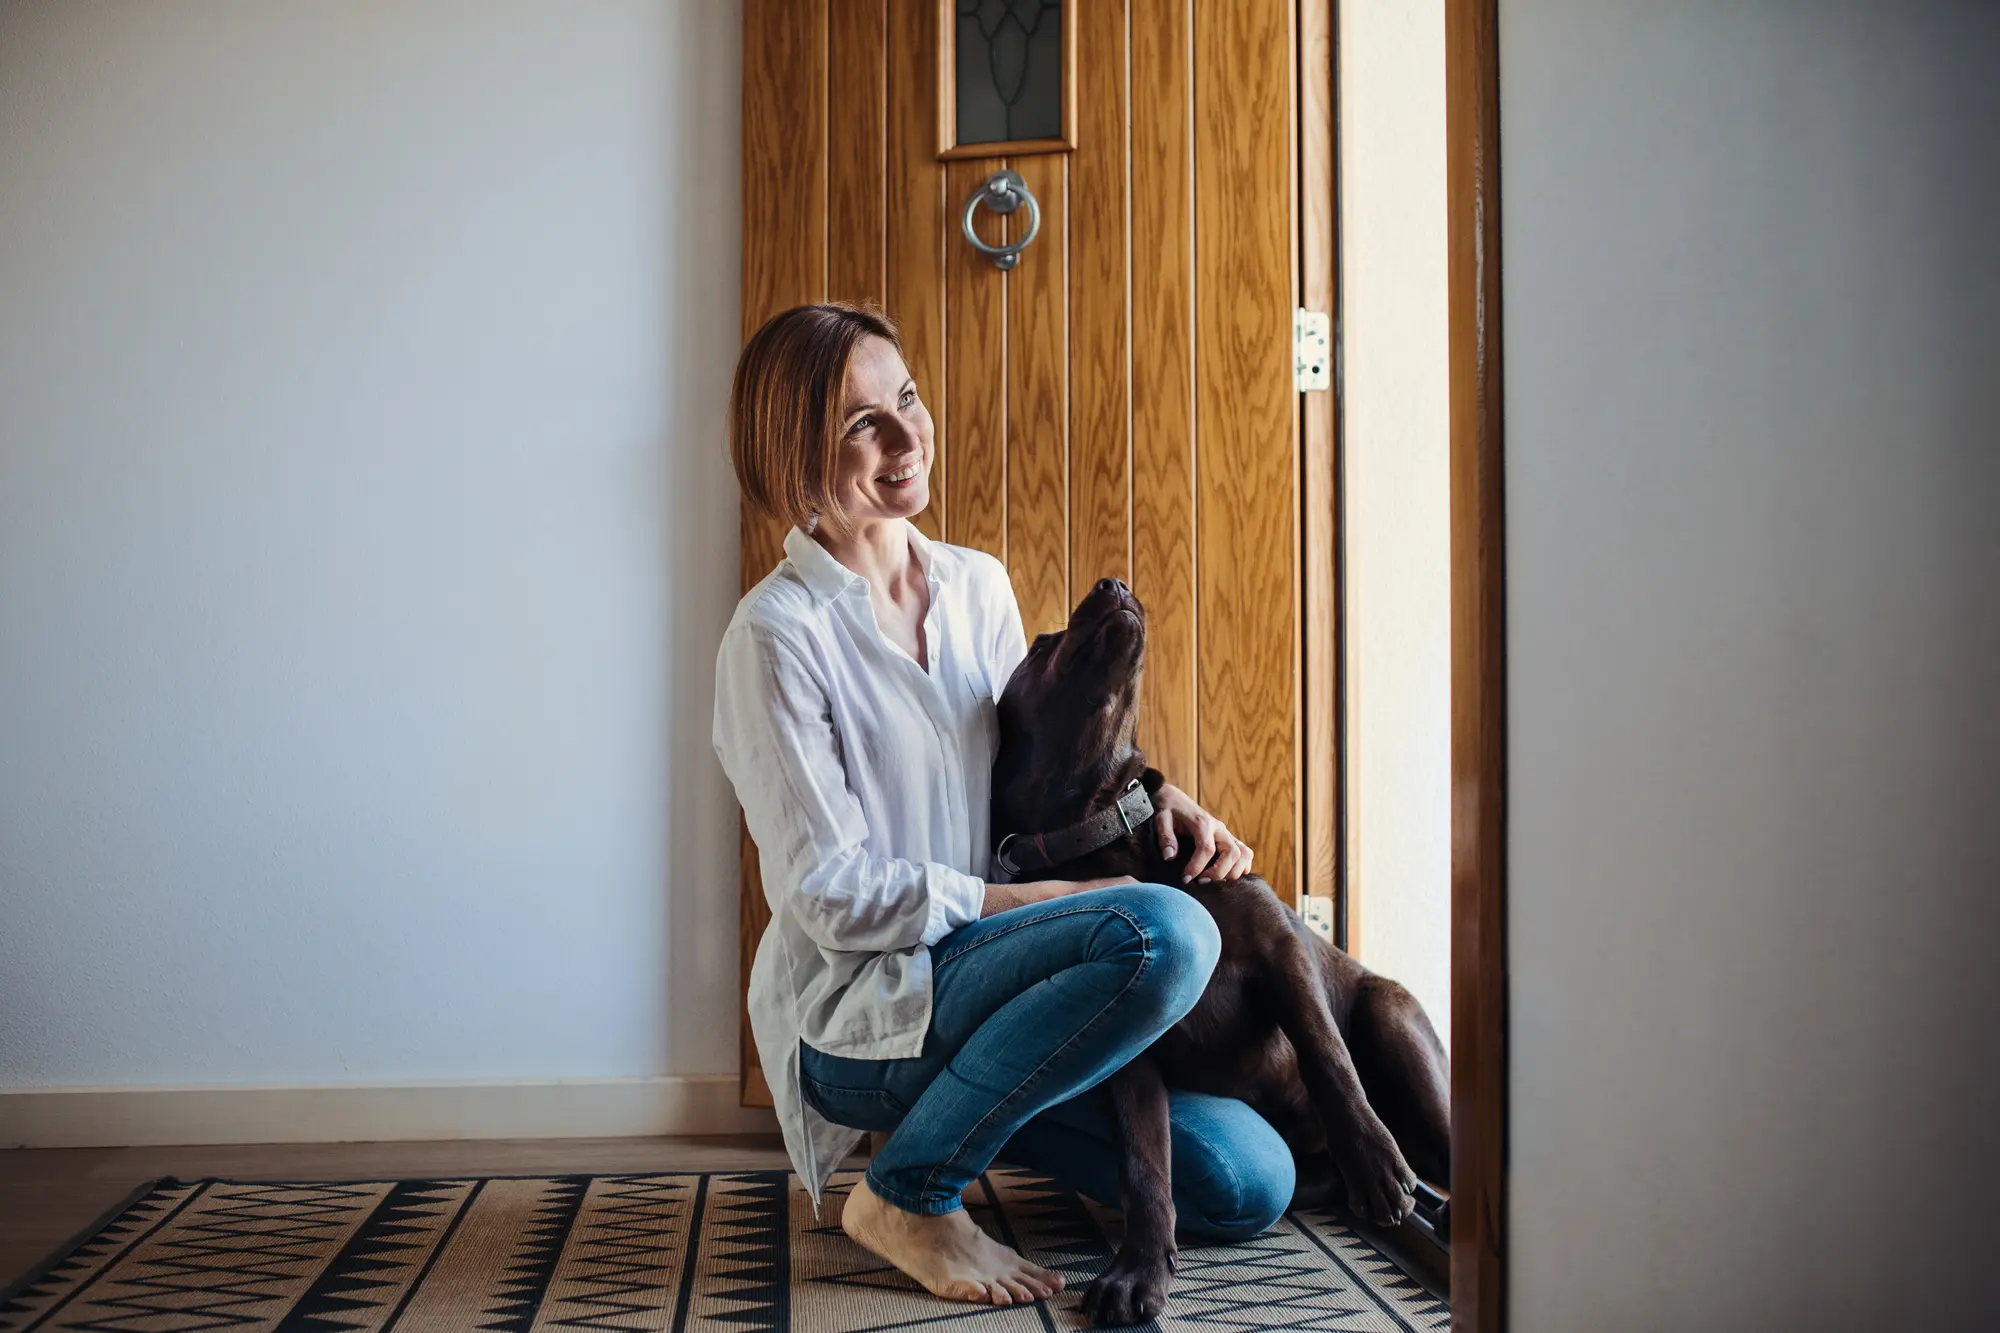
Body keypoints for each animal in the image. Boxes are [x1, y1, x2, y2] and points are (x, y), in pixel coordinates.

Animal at [992, 572, 1448, 1320]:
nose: (1114, 581)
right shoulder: (1131, 1035)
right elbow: (1145, 1161)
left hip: (1393, 1020)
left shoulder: (1279, 946)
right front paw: (1139, 1269)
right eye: (1039, 645)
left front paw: (1376, 1162)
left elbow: (1325, 1052)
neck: (1101, 825)